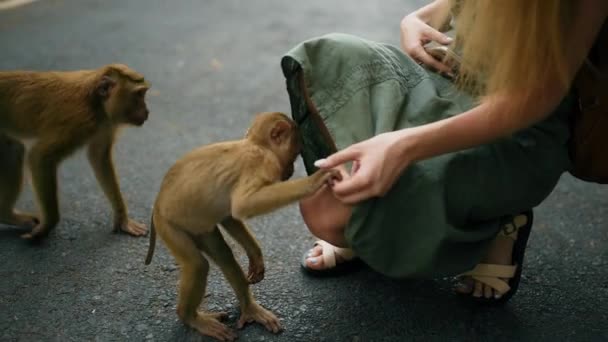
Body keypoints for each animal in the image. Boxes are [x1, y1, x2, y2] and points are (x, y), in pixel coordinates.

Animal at [0, 64, 151, 240]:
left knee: (13, 149)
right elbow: (41, 156)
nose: (147, 111)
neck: (95, 102)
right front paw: (47, 226)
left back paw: (6, 215)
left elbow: (99, 156)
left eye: (143, 94)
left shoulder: (105, 122)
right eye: (138, 94)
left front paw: (122, 220)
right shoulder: (79, 121)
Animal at [145, 111, 340, 340]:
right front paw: (314, 181)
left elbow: (229, 215)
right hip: (169, 225)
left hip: (198, 226)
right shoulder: (263, 163)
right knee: (197, 264)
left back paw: (249, 309)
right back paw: (190, 317)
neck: (257, 145)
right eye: (295, 153)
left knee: (224, 255)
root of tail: (157, 204)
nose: (291, 170)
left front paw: (255, 255)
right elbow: (242, 205)